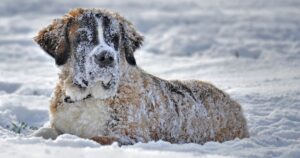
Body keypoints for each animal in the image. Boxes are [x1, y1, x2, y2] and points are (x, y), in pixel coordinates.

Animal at [32, 8, 248, 145]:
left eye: (115, 38)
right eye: (83, 37)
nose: (106, 57)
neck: (87, 97)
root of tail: (234, 104)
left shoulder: (131, 136)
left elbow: (93, 138)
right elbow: (41, 132)